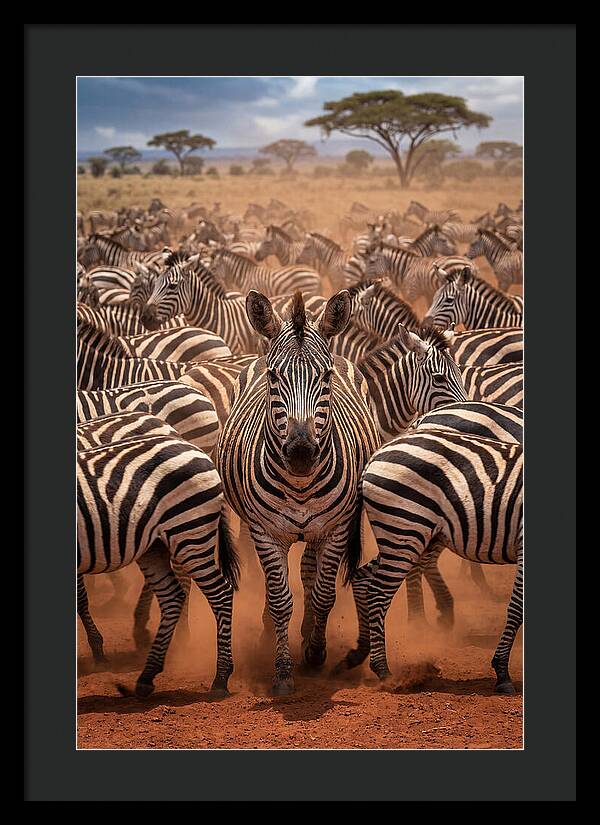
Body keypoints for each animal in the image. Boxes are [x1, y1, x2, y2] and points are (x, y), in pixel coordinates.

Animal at [77, 427, 239, 697]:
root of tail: (197, 450)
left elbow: (80, 598)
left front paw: (98, 650)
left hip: (189, 532)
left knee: (221, 594)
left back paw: (221, 678)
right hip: (154, 546)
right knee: (172, 596)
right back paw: (147, 675)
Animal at [216, 290, 380, 694]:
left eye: (326, 377)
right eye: (274, 377)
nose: (302, 453)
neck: (301, 485)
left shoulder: (337, 528)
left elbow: (323, 593)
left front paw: (316, 653)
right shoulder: (265, 532)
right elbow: (279, 599)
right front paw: (282, 670)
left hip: (322, 529)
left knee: (309, 569)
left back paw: (308, 633)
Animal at [341, 429, 523, 694]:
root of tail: (377, 454)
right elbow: (517, 608)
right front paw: (501, 672)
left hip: (402, 536)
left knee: (362, 578)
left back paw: (359, 652)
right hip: (405, 529)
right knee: (377, 593)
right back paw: (383, 671)